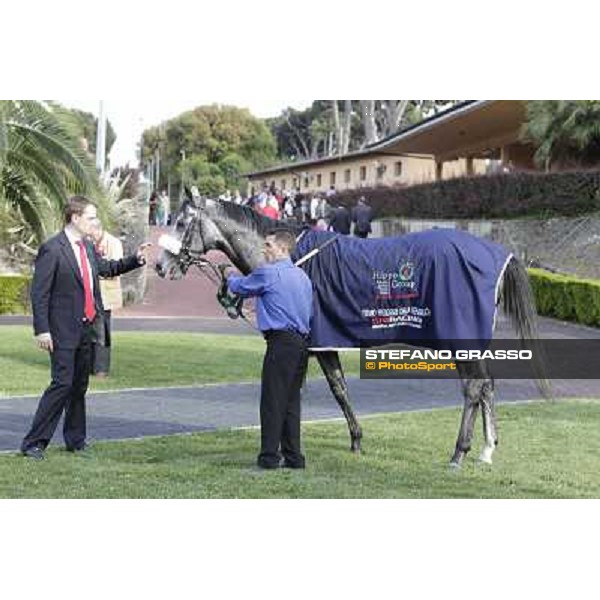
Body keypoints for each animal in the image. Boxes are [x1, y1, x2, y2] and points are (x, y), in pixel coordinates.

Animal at [154, 198, 548, 468]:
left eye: (182, 222)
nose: (160, 265)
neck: (292, 260)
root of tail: (499, 255)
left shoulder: (313, 341)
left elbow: (315, 390)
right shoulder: (321, 344)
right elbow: (339, 389)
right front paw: (356, 441)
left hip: (460, 337)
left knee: (473, 388)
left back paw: (460, 452)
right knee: (488, 385)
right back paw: (487, 449)